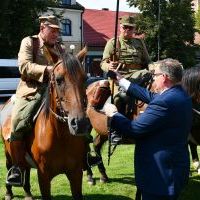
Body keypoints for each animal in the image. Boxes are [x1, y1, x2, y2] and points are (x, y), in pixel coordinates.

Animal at [0, 53, 90, 200]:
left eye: (85, 79)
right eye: (58, 80)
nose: (80, 123)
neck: (61, 137)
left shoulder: (76, 173)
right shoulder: (43, 176)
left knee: (26, 169)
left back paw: (28, 193)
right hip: (8, 152)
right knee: (11, 166)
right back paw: (9, 192)